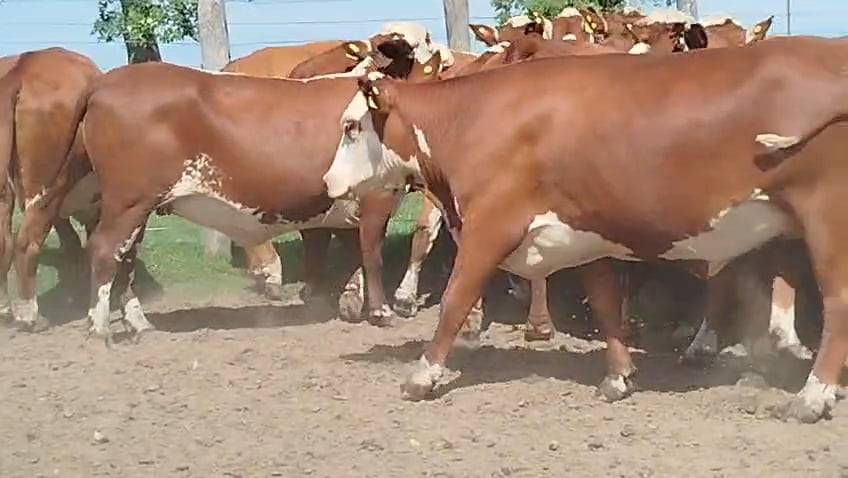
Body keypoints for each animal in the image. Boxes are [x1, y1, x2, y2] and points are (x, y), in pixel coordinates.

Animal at [0, 47, 102, 331]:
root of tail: (28, 62)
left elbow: (74, 246)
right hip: (50, 185)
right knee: (26, 243)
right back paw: (30, 316)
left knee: (4, 243)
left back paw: (5, 311)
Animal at [322, 36, 848, 423]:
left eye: (350, 127)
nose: (328, 182)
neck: (476, 119)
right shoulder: (587, 231)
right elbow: (605, 302)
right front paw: (618, 377)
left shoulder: (489, 225)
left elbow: (455, 299)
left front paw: (423, 375)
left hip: (826, 216)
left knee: (837, 301)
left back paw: (813, 395)